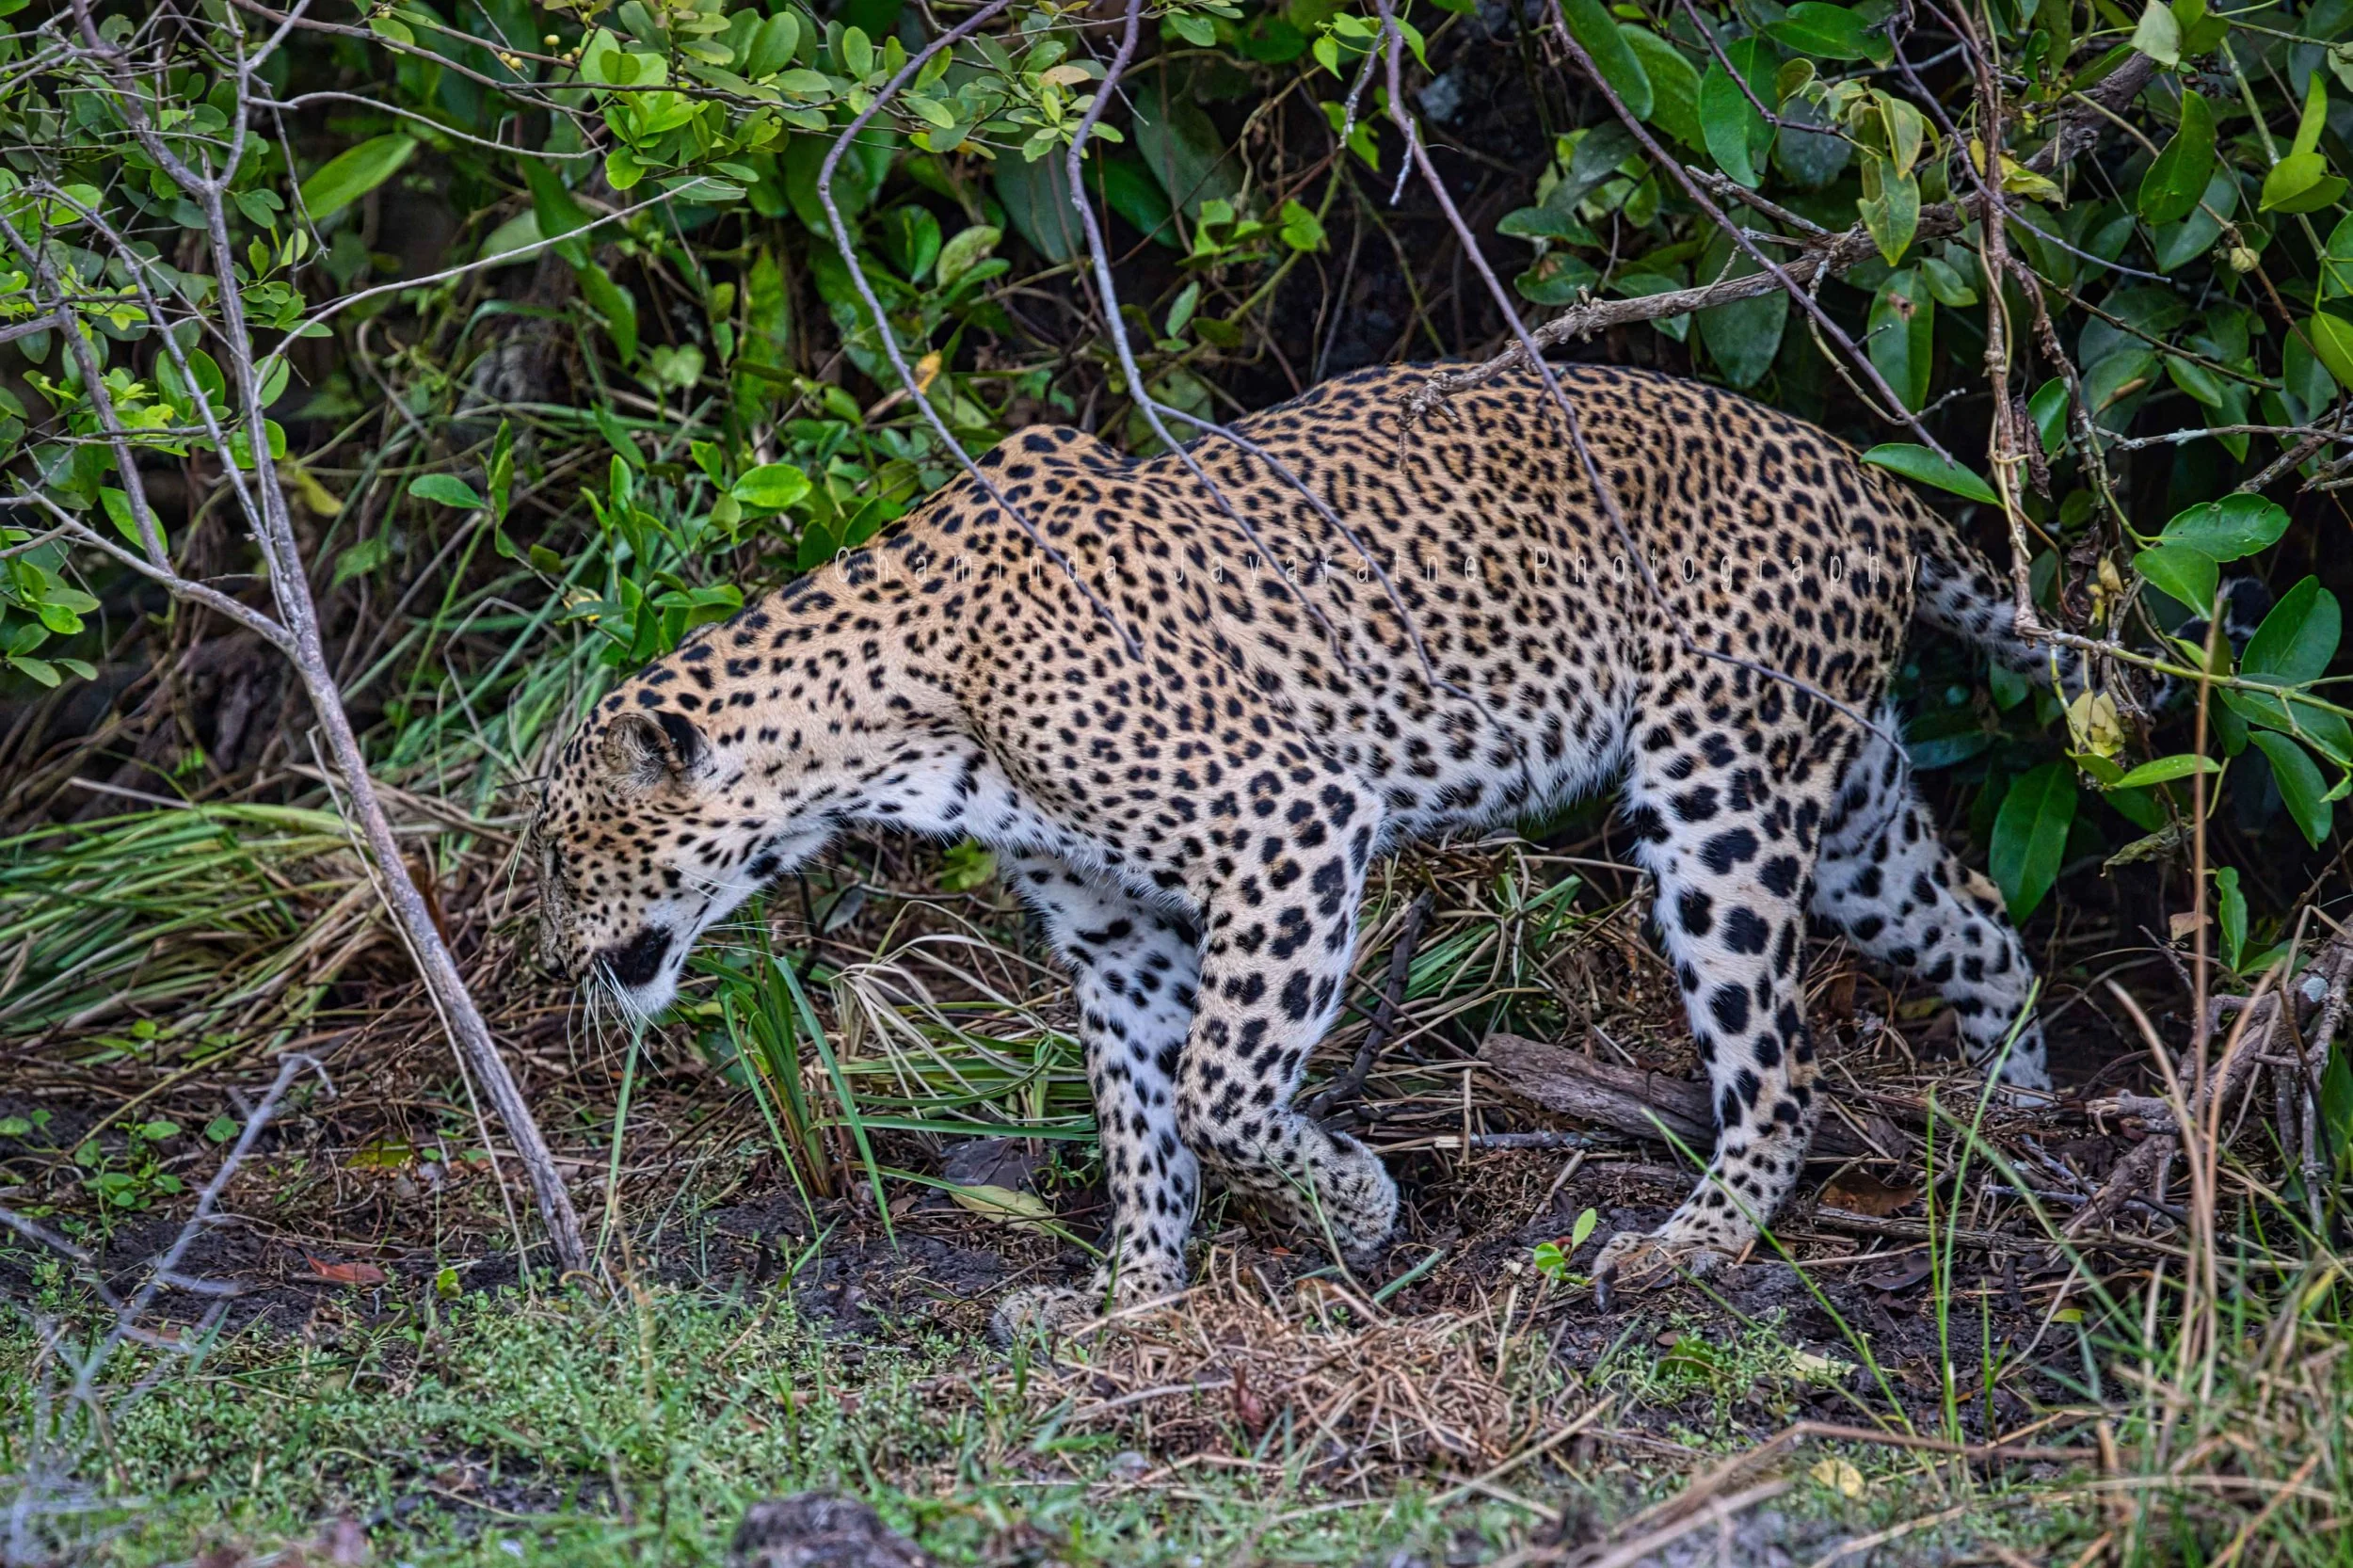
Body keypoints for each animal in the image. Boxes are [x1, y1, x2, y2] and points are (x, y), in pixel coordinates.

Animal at [527, 360, 2067, 1334]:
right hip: (1846, 802)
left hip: (1722, 798)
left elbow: (1217, 1088)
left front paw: (1355, 1208)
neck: (886, 724)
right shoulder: (1109, 923)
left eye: (557, 850)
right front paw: (1130, 1295)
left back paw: (1697, 1239)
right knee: (1984, 930)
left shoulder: (1290, 822)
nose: (546, 965)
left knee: (1781, 1066)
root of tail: (1865, 478)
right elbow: (1140, 1114)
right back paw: (2021, 1122)